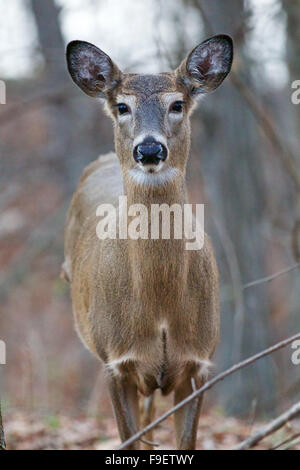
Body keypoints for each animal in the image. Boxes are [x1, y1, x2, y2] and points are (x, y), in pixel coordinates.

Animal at [62, 35, 233, 450]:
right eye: (122, 106)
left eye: (177, 104)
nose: (150, 149)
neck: (160, 308)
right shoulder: (114, 359)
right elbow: (130, 439)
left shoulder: (200, 360)